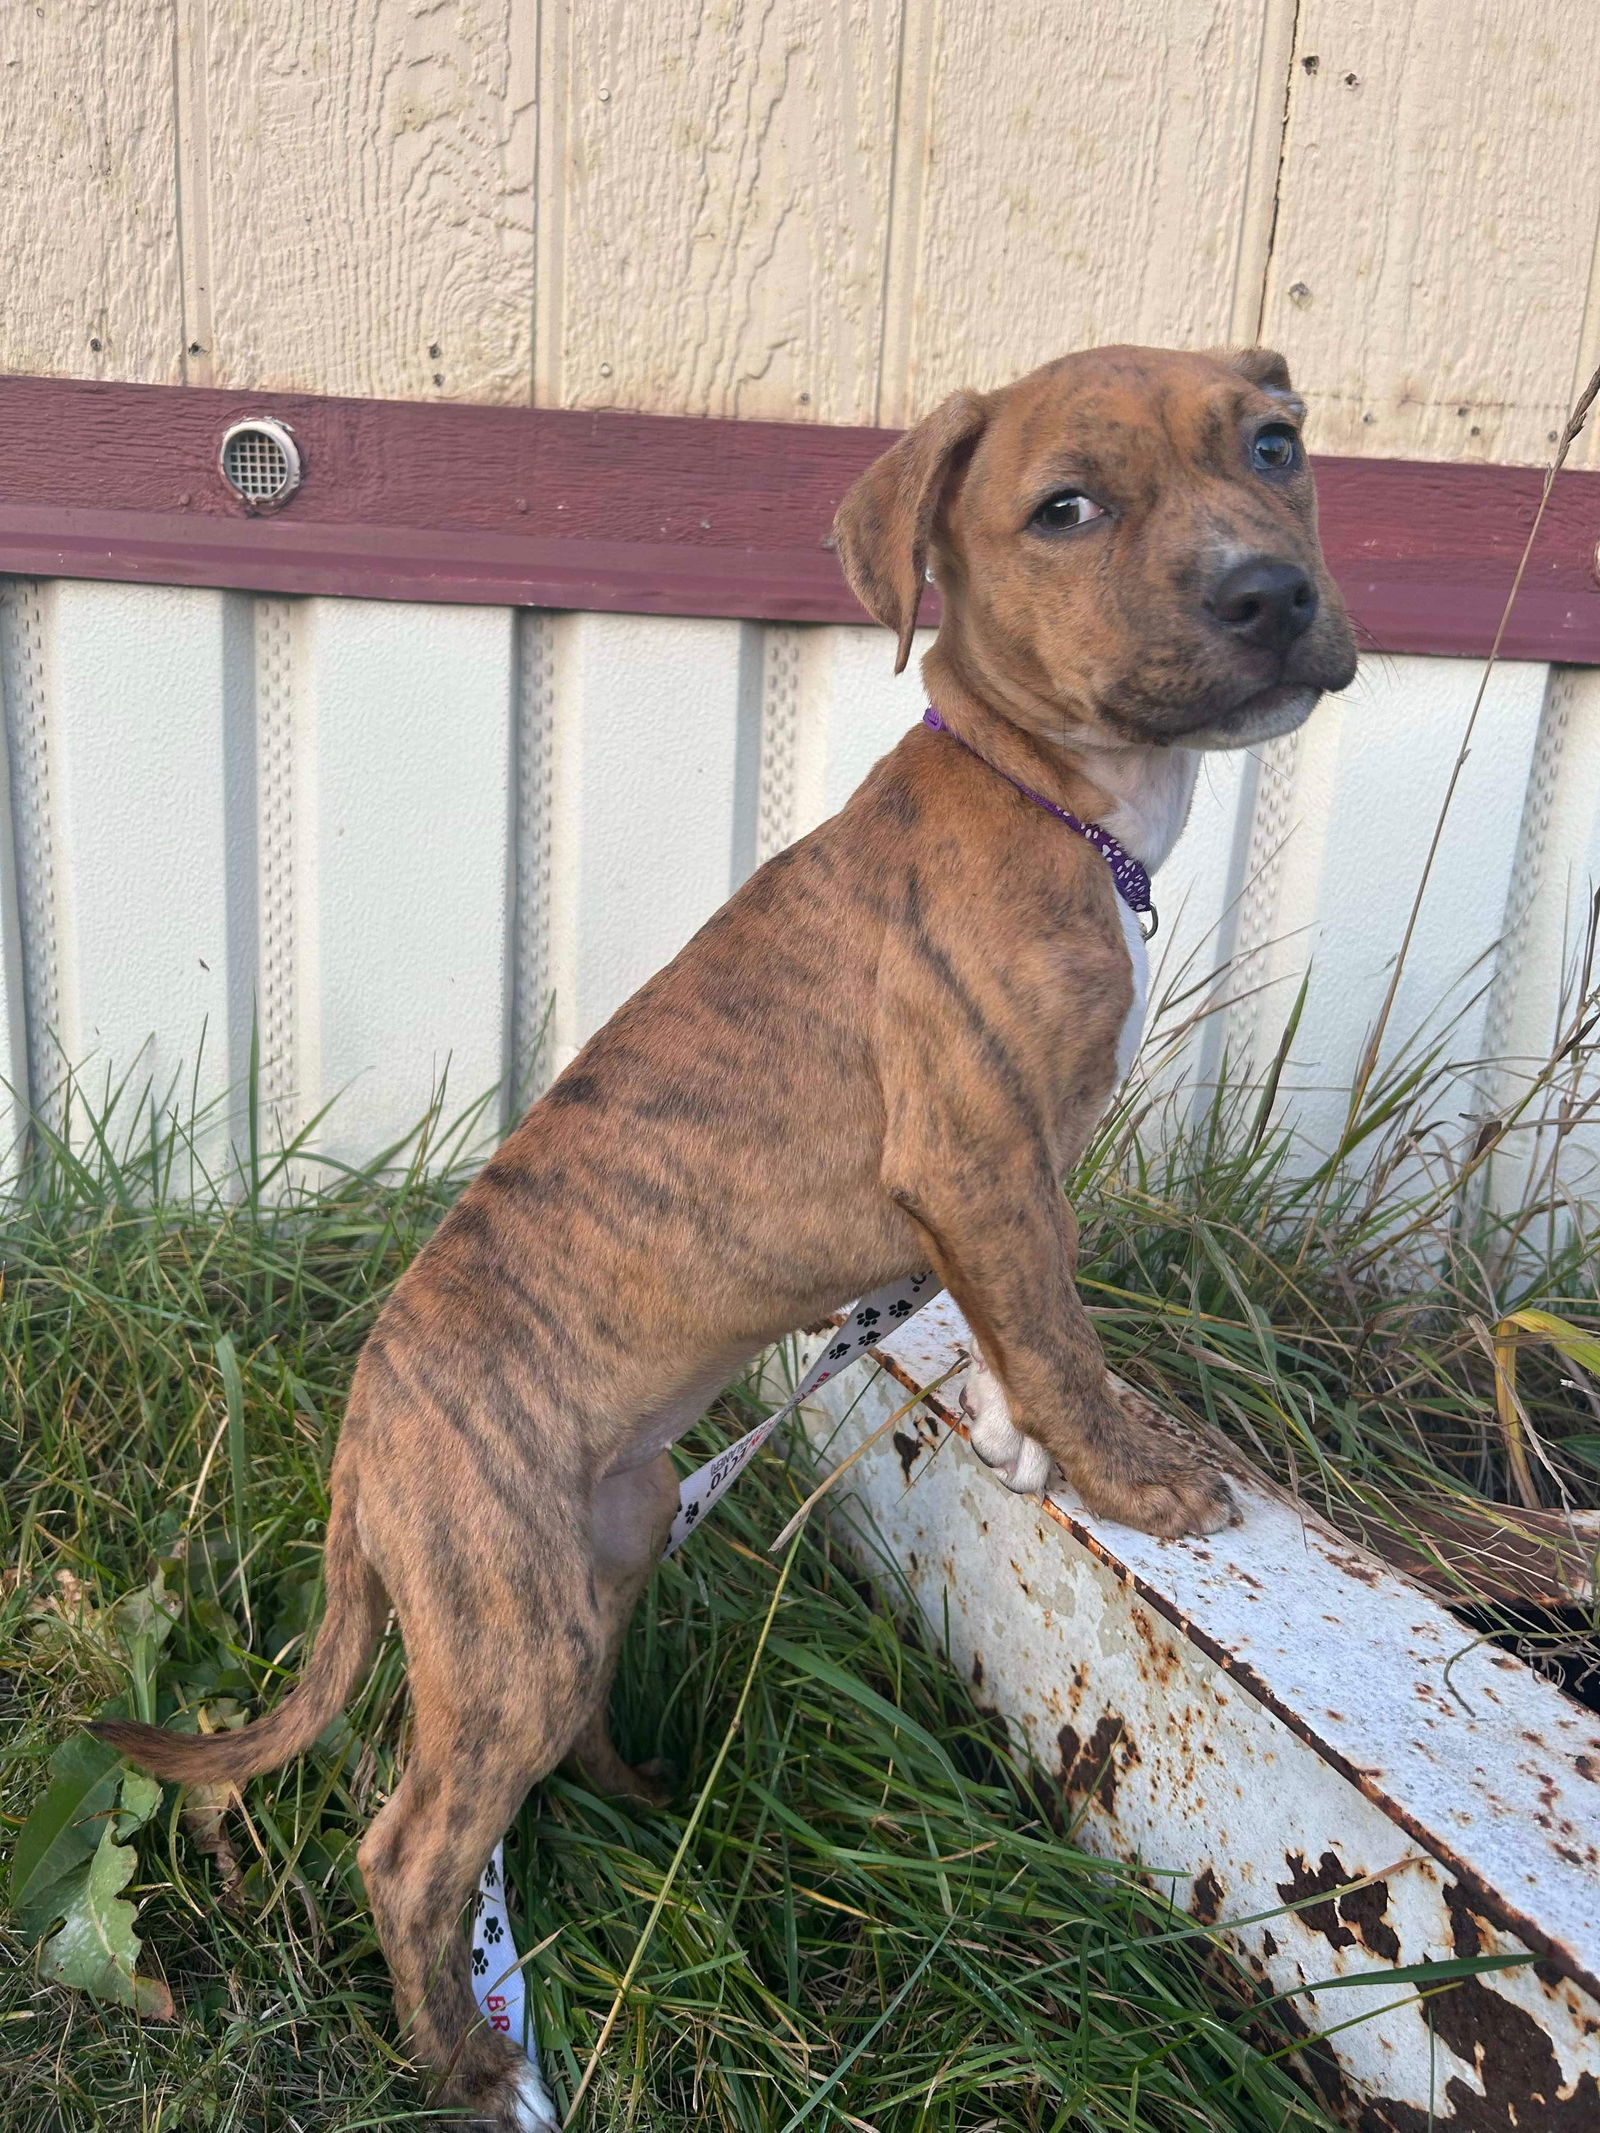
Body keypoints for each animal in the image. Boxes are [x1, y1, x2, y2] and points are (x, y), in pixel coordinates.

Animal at [97, 341, 1356, 2124]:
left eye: (1277, 449)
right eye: (1066, 510)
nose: (1269, 591)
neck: (1044, 789)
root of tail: (365, 1431)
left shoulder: (1000, 1185)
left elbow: (1009, 1326)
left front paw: (1021, 1435)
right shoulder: (981, 1159)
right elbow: (1054, 1322)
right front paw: (1133, 1474)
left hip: (598, 1552)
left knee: (544, 1749)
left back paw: (632, 1800)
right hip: (508, 1622)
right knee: (412, 1847)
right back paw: (467, 2055)